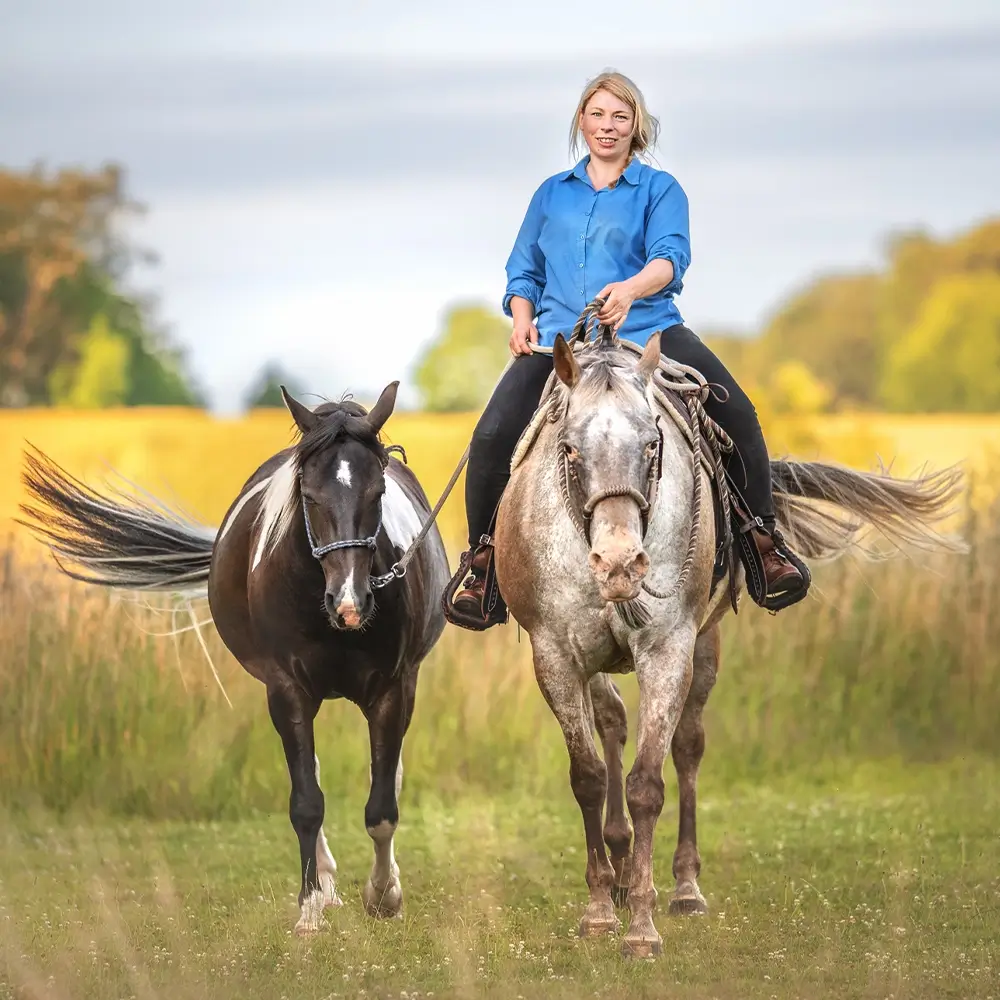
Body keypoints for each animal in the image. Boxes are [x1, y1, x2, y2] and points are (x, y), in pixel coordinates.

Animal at [18, 381, 451, 934]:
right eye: (308, 495)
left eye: (377, 494)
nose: (350, 604)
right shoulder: (285, 690)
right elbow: (306, 802)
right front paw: (310, 909)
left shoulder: (393, 689)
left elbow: (382, 805)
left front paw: (383, 896)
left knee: (385, 776)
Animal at [495, 326, 963, 958]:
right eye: (568, 449)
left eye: (653, 445)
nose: (620, 564)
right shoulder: (556, 655)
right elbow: (588, 776)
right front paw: (599, 910)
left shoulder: (668, 647)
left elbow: (648, 784)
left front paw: (642, 926)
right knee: (613, 722)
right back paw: (618, 868)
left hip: (705, 644)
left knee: (687, 747)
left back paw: (683, 887)